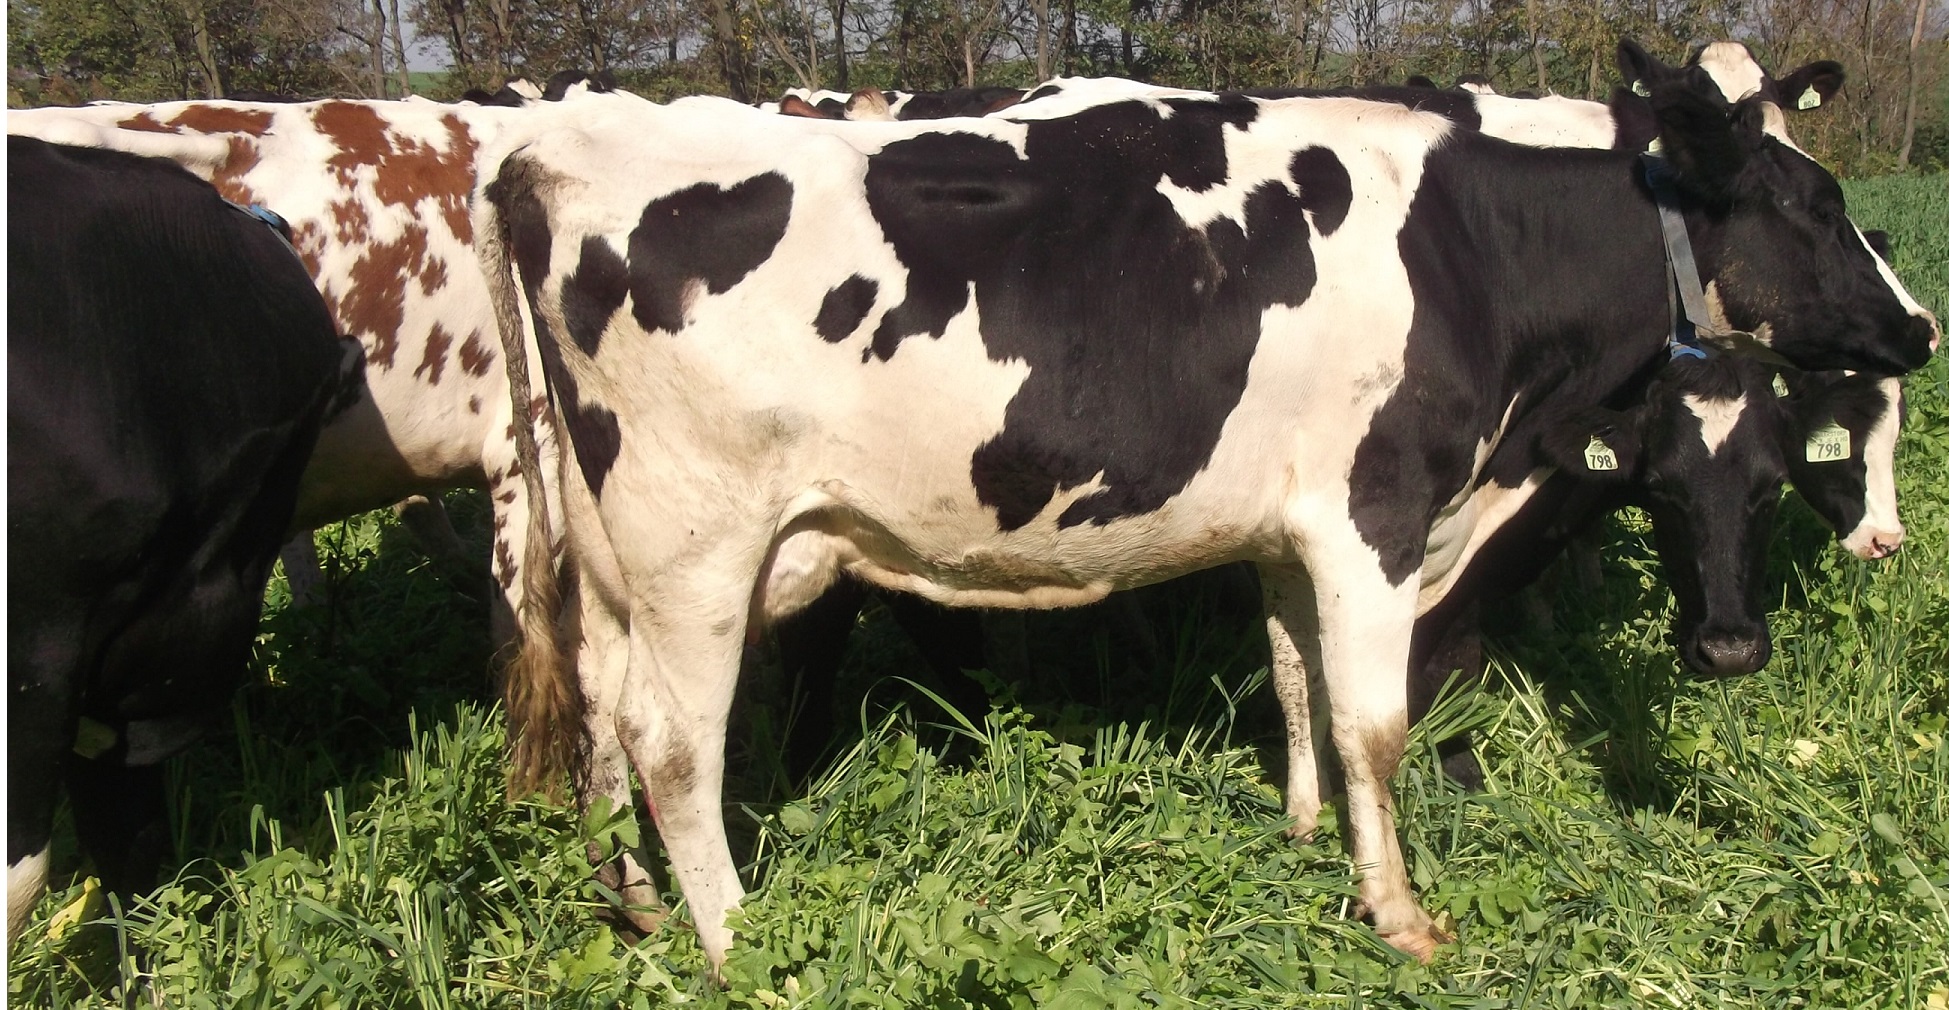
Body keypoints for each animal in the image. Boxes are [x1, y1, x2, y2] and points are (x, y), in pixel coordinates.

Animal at [474, 39, 1936, 973]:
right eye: (1813, 205)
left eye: (1770, 482)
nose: (1917, 327)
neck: (1469, 257)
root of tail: (545, 153)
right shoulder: (1373, 514)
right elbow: (1375, 720)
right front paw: (1399, 913)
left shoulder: (1293, 526)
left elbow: (1294, 682)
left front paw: (1297, 833)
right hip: (699, 553)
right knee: (674, 746)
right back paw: (732, 938)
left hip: (613, 567)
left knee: (602, 718)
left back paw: (631, 906)